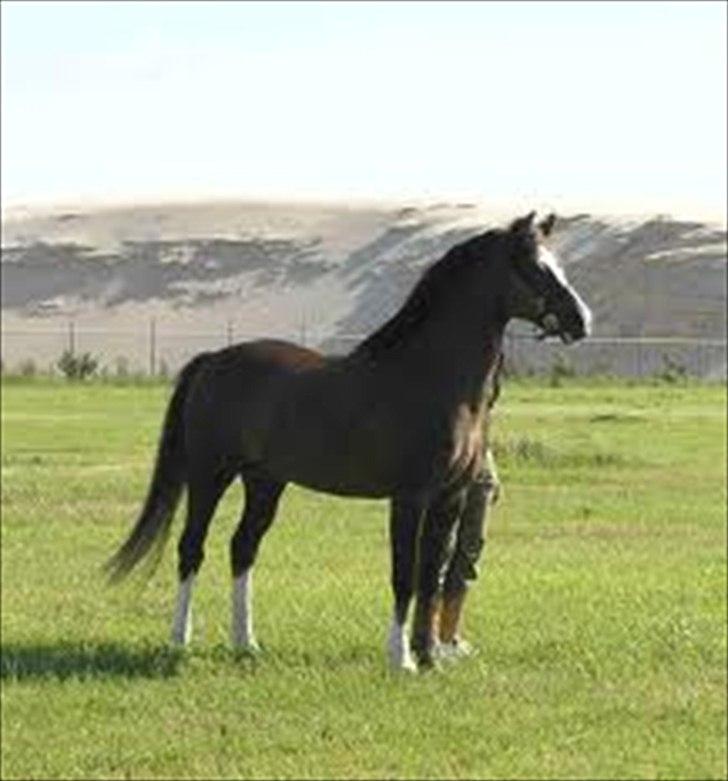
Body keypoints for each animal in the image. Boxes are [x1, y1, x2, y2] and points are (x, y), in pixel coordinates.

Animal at [106, 211, 592, 671]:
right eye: (534, 266)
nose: (581, 320)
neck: (431, 376)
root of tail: (212, 361)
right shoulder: (410, 497)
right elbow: (404, 575)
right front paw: (402, 659)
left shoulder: (449, 497)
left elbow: (431, 576)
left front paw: (430, 657)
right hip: (210, 475)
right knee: (192, 548)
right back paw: (179, 641)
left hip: (265, 482)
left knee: (242, 548)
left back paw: (246, 644)